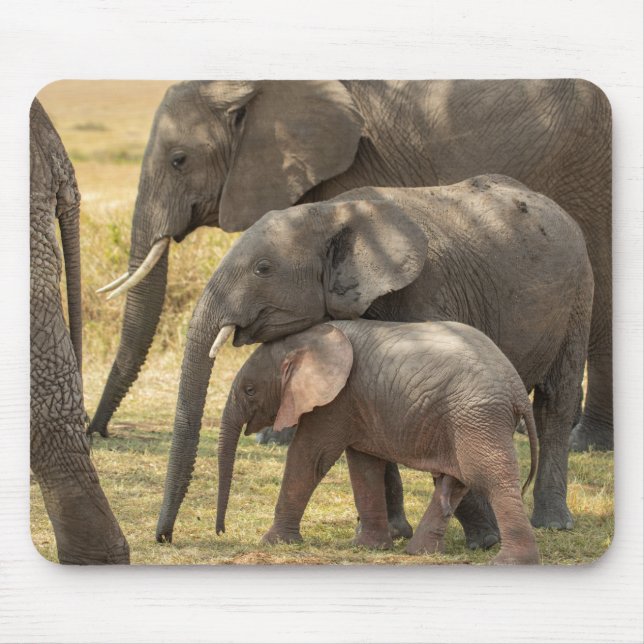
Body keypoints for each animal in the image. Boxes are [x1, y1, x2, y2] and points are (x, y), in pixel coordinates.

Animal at [91, 79, 612, 453]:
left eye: (179, 160)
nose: (98, 432)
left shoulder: (354, 167)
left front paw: (276, 440)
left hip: (588, 171)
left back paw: (584, 443)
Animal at [215, 320, 540, 565]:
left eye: (249, 390)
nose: (221, 532)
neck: (307, 340)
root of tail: (517, 390)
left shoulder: (336, 401)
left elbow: (310, 458)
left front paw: (273, 542)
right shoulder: (355, 403)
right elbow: (363, 465)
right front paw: (369, 547)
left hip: (478, 414)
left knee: (490, 477)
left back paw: (510, 562)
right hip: (466, 420)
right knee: (455, 479)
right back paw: (420, 552)